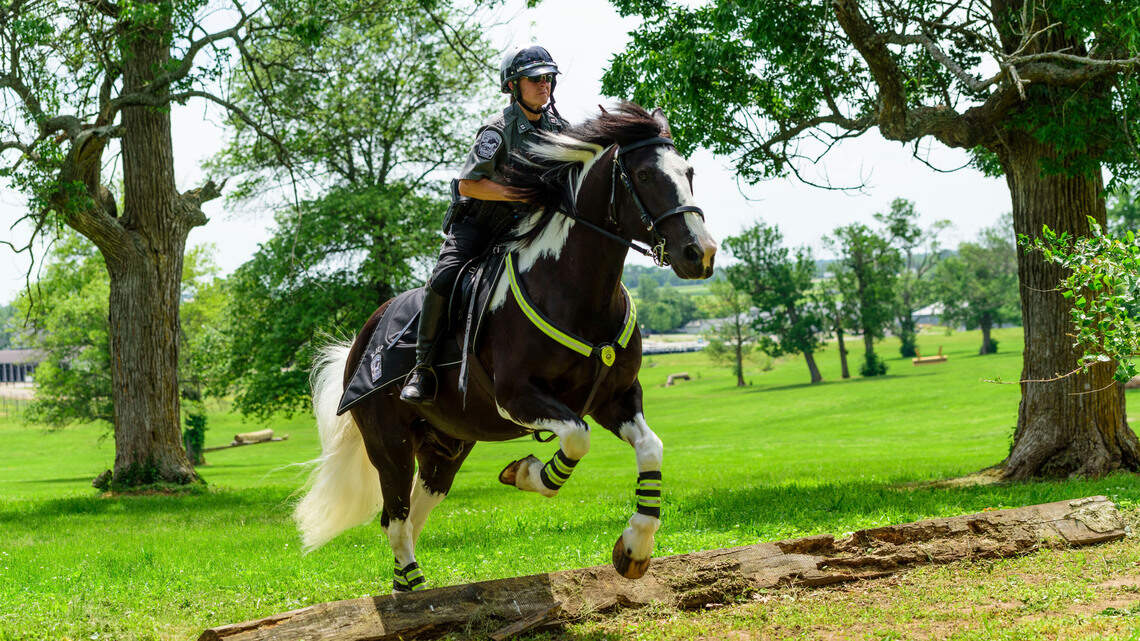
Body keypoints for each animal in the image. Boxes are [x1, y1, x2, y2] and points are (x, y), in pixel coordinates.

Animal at [294, 103, 717, 592]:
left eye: (689, 172)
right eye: (646, 175)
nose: (701, 254)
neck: (573, 290)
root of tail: (358, 345)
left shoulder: (617, 397)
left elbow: (650, 448)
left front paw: (634, 549)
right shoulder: (517, 396)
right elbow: (576, 438)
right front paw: (527, 472)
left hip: (446, 448)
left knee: (413, 515)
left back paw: (407, 585)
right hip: (390, 444)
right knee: (395, 520)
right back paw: (415, 590)